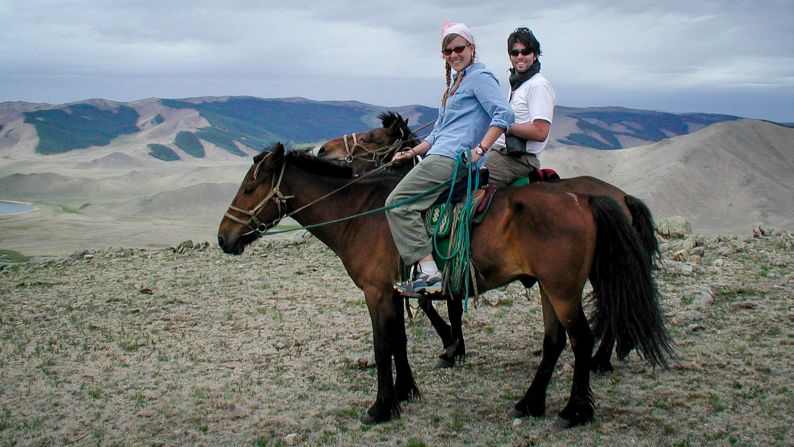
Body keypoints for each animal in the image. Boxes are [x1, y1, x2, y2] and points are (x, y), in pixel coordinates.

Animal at [218, 143, 676, 428]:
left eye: (249, 187)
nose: (224, 238)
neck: (362, 213)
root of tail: (585, 199)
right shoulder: (395, 291)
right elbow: (400, 340)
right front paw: (405, 391)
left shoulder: (376, 292)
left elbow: (383, 345)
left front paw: (381, 406)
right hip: (551, 289)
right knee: (555, 341)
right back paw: (531, 403)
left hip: (563, 289)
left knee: (581, 337)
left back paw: (576, 409)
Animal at [314, 114, 656, 372]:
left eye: (369, 138)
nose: (321, 150)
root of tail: (620, 195)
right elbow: (446, 306)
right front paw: (455, 345)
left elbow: (430, 302)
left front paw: (452, 346)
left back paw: (600, 361)